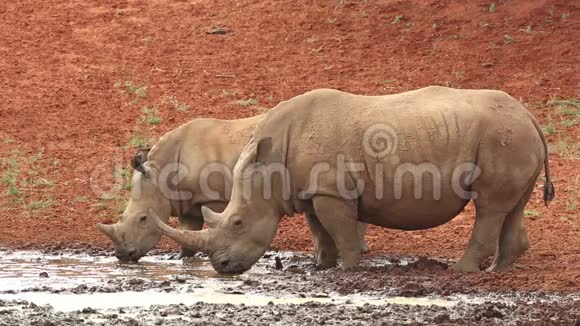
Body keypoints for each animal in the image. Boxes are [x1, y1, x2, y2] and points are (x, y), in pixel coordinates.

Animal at [96, 115, 368, 262]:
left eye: (143, 219)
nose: (122, 255)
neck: (162, 173)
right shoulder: (187, 203)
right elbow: (188, 234)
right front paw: (183, 258)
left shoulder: (214, 198)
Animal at [152, 86, 556, 276]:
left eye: (237, 222)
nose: (221, 266)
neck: (270, 164)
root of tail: (530, 116)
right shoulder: (310, 190)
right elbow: (319, 231)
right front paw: (321, 266)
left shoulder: (332, 191)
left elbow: (340, 231)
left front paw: (347, 268)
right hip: (512, 137)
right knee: (510, 206)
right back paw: (500, 269)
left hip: (502, 136)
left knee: (488, 206)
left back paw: (462, 270)